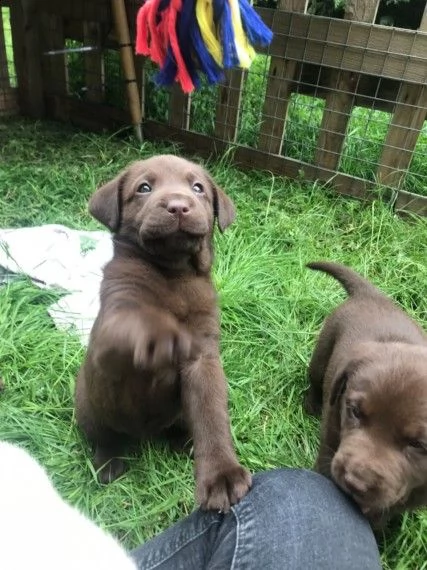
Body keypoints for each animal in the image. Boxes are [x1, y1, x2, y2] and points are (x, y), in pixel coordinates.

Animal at [75, 153, 252, 508]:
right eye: (144, 188)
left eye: (197, 188)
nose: (178, 206)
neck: (174, 272)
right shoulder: (114, 317)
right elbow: (138, 323)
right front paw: (169, 335)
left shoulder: (204, 361)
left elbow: (211, 414)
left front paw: (222, 474)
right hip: (88, 403)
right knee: (104, 434)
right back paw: (108, 463)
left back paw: (185, 442)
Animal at [304, 260, 427, 524]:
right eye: (355, 412)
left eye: (418, 444)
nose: (355, 482)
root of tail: (370, 294)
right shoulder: (331, 440)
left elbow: (386, 511)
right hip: (323, 350)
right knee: (316, 379)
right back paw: (312, 404)